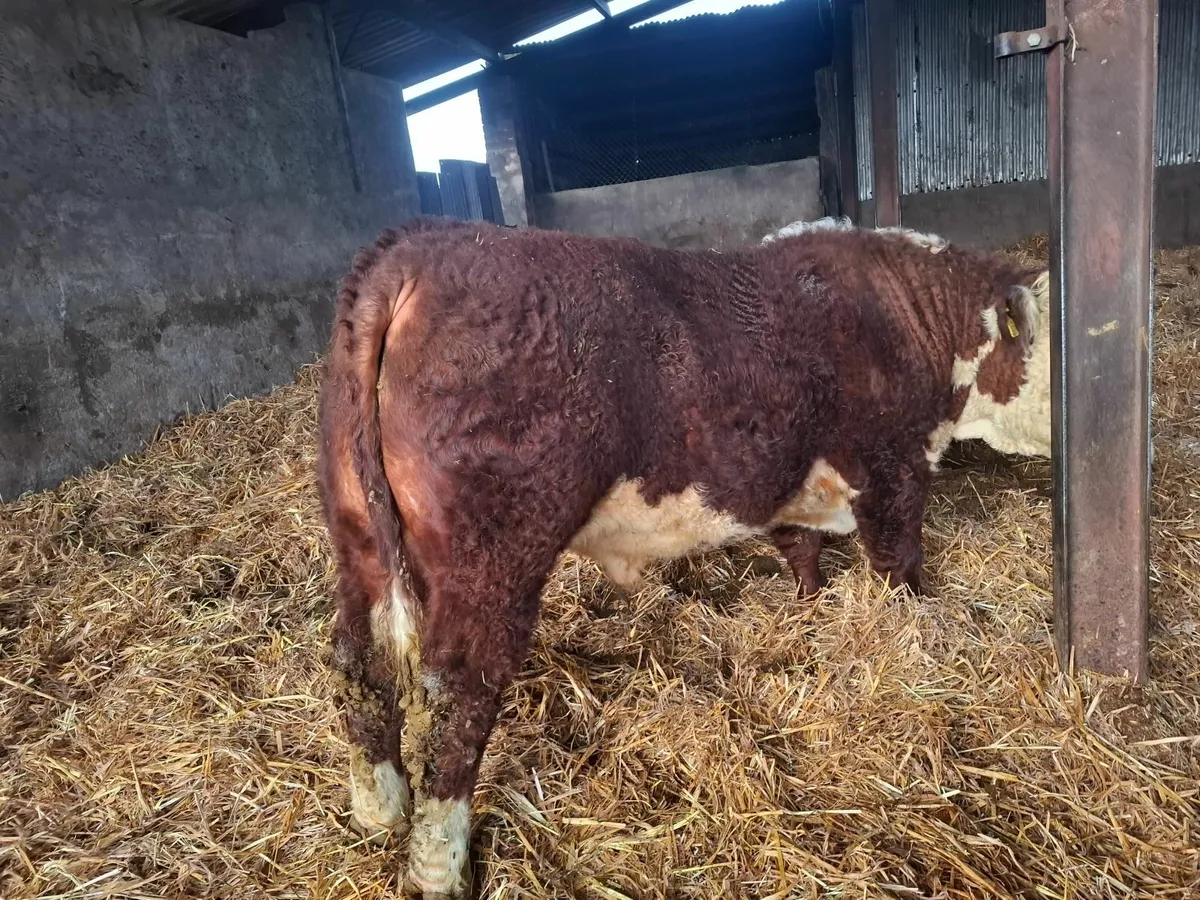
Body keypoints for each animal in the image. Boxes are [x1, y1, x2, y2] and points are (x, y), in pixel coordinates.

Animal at [316, 217, 1052, 897]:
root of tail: (417, 244)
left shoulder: (785, 483)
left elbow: (803, 552)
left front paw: (810, 611)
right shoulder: (894, 472)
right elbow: (899, 567)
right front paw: (914, 633)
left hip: (358, 533)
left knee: (357, 657)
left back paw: (379, 808)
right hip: (491, 560)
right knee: (457, 697)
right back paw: (438, 866)